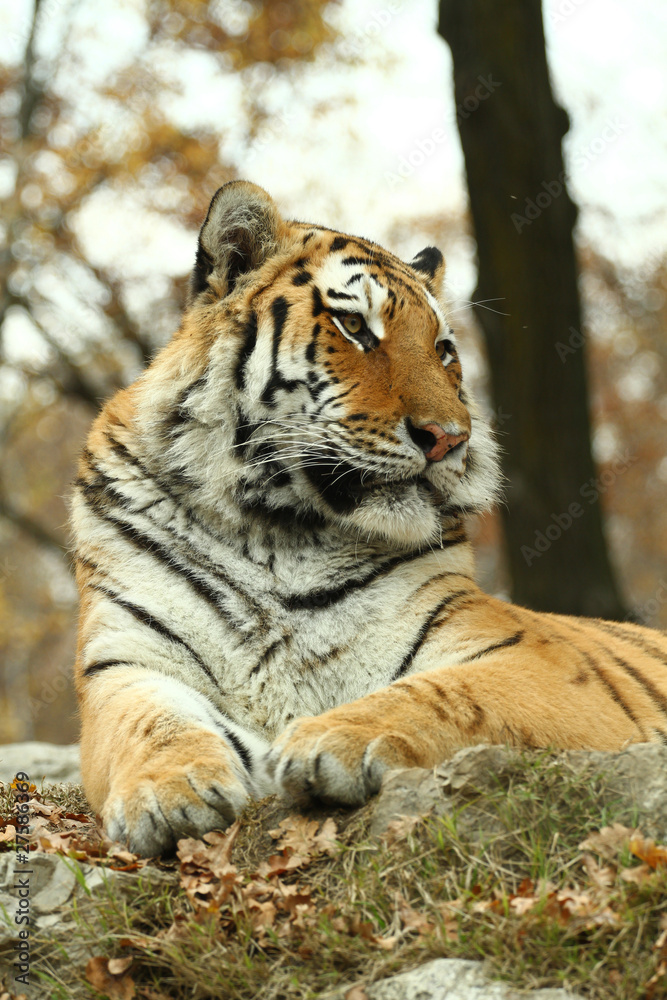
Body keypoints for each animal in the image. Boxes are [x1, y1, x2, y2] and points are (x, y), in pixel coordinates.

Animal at [71, 180, 667, 857]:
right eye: (354, 326)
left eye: (443, 350)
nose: (451, 438)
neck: (275, 530)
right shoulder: (124, 661)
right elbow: (151, 725)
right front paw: (168, 792)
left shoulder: (532, 658)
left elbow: (446, 694)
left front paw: (331, 739)